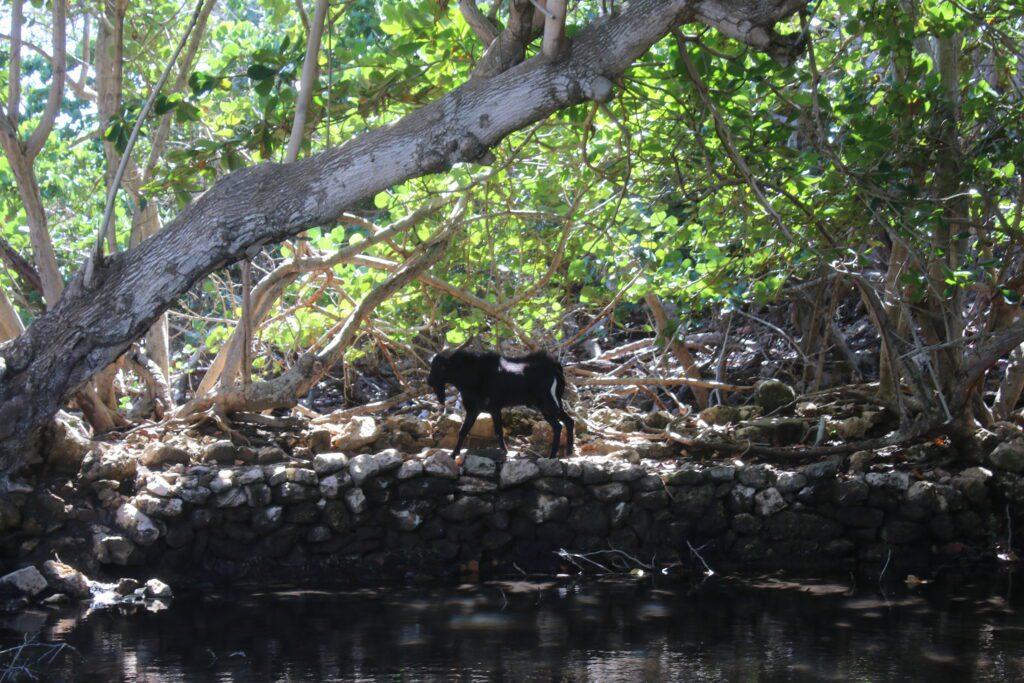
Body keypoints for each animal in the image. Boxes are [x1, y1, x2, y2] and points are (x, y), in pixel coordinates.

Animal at [425, 352, 577, 458]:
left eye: (442, 367)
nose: (429, 380)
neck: (472, 376)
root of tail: (555, 367)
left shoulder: (494, 408)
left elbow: (498, 432)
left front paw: (505, 452)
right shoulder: (474, 410)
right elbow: (463, 431)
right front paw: (453, 455)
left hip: (547, 404)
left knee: (558, 426)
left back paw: (552, 456)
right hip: (554, 404)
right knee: (569, 421)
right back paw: (569, 451)